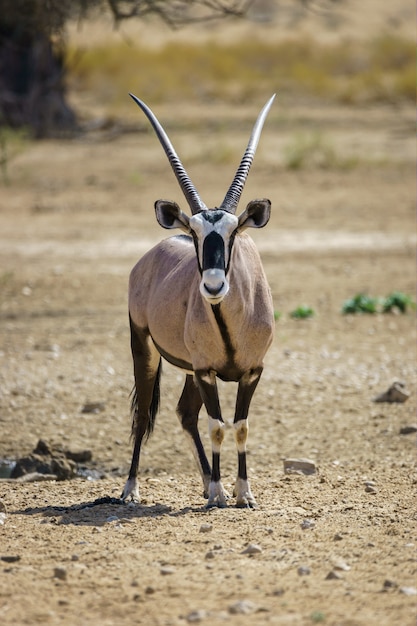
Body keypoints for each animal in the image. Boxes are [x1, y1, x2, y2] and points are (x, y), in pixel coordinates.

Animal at [122, 94, 274, 508]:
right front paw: (221, 494)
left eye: (234, 231)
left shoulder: (252, 371)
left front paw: (244, 493)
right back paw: (130, 488)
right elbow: (217, 426)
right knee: (144, 415)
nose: (213, 285)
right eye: (194, 231)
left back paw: (207, 482)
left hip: (188, 367)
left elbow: (240, 426)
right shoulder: (207, 371)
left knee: (185, 412)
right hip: (144, 348)